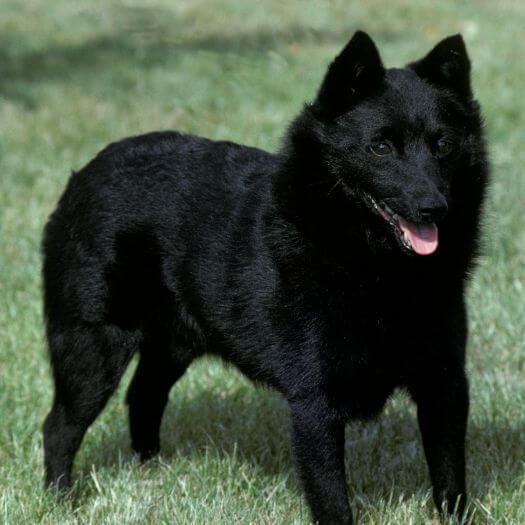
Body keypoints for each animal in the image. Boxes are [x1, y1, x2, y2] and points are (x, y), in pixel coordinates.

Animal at [44, 32, 488, 524]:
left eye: (443, 146)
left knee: (143, 398)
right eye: (381, 148)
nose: (433, 208)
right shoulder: (314, 404)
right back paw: (61, 500)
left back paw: (150, 475)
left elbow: (451, 482)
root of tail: (83, 175)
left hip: (172, 345)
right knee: (60, 426)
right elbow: (332, 500)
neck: (376, 269)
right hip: (91, 348)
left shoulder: (444, 385)